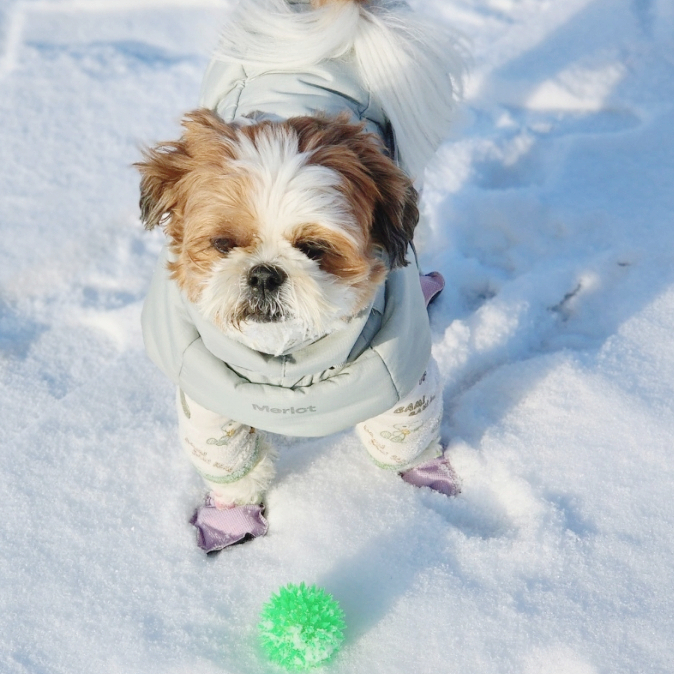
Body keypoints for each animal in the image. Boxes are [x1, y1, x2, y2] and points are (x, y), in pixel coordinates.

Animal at [136, 0, 462, 548]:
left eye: (314, 249)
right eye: (223, 245)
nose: (265, 274)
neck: (287, 361)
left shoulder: (401, 378)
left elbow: (404, 438)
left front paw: (427, 485)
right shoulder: (206, 396)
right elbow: (229, 465)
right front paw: (230, 518)